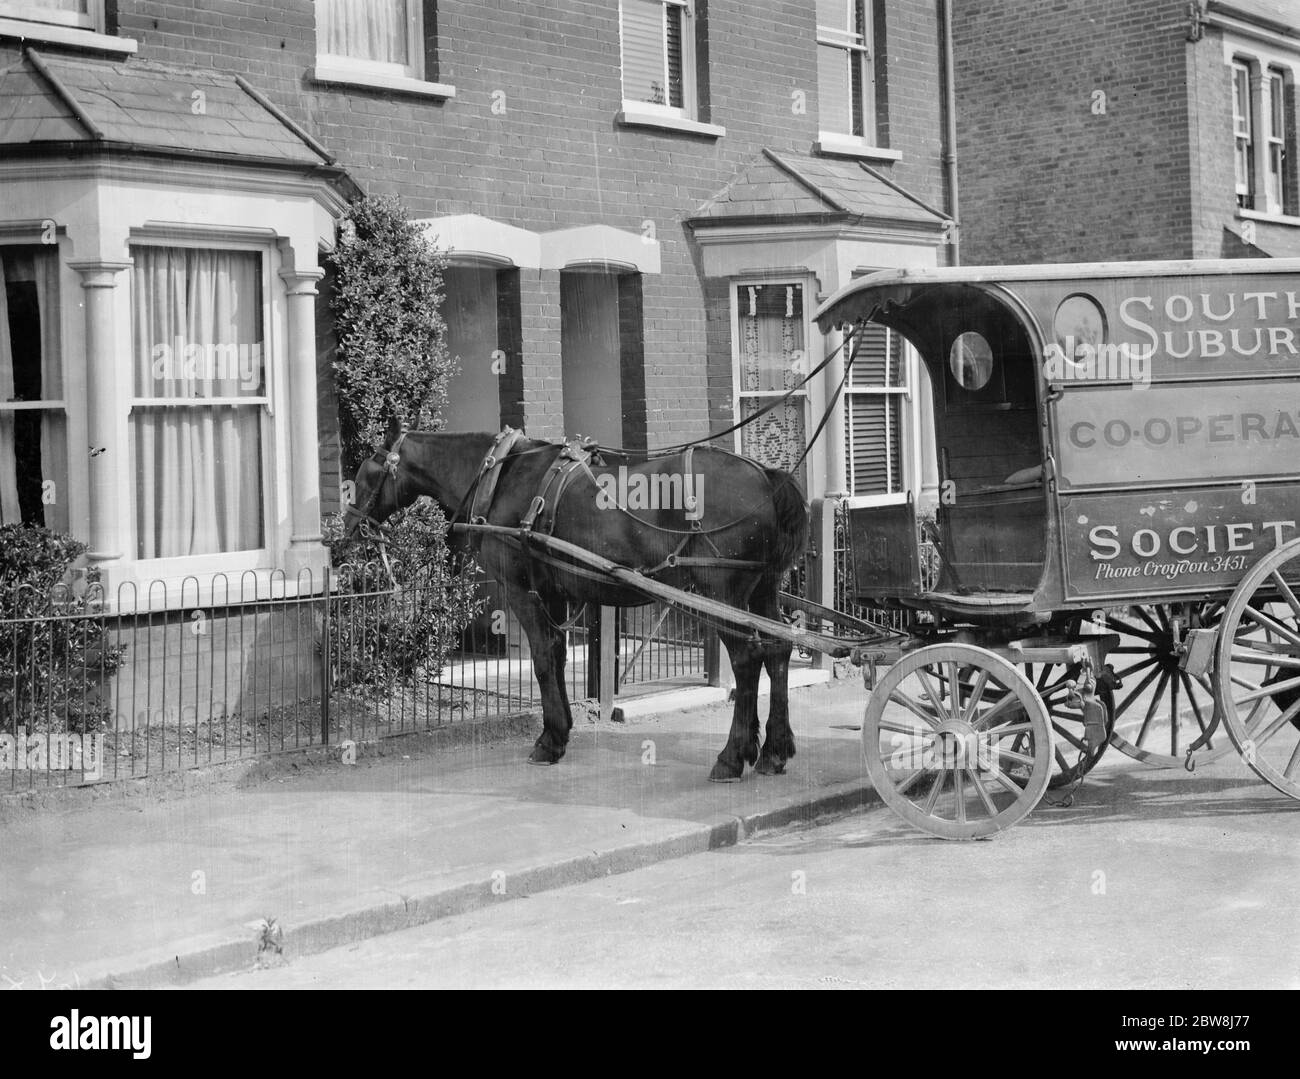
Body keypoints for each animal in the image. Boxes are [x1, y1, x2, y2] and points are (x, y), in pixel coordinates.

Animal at [340, 423, 806, 785]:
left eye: (364, 477)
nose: (347, 530)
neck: (500, 476)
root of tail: (766, 477)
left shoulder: (521, 589)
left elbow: (543, 659)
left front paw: (549, 741)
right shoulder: (555, 591)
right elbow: (558, 655)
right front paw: (560, 731)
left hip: (721, 593)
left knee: (747, 660)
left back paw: (732, 756)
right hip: (763, 590)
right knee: (779, 650)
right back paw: (774, 750)